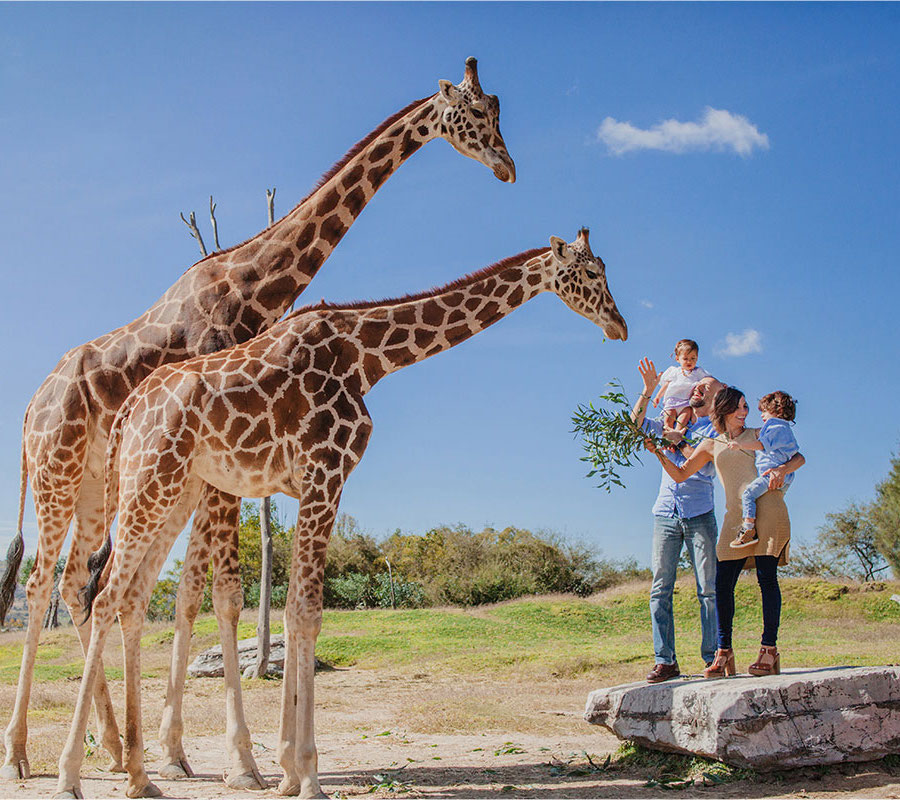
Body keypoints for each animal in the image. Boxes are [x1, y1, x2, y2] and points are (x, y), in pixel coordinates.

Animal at [0, 57, 516, 788]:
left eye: (498, 109)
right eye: (473, 114)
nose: (506, 166)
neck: (252, 284)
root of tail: (28, 408)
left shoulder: (215, 463)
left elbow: (190, 592)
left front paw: (179, 751)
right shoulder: (220, 456)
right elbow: (223, 595)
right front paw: (243, 763)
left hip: (101, 483)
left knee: (78, 582)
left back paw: (109, 745)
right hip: (59, 472)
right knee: (42, 580)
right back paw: (22, 752)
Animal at [54, 228, 624, 796]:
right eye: (592, 273)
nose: (618, 325)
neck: (367, 356)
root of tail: (129, 409)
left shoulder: (305, 484)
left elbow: (291, 611)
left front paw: (287, 770)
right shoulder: (326, 473)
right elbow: (307, 612)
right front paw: (307, 773)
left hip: (169, 488)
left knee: (127, 596)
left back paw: (140, 774)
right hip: (152, 482)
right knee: (104, 596)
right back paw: (72, 774)